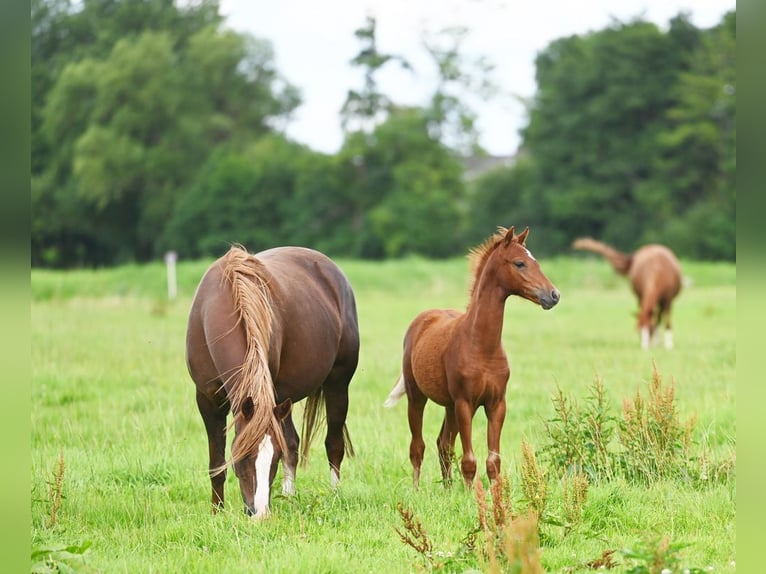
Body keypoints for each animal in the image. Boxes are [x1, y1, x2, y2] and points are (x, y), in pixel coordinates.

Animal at [189, 245, 364, 520]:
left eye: (273, 459)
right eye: (243, 456)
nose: (260, 514)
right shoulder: (207, 401)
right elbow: (217, 464)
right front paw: (216, 512)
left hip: (337, 384)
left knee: (334, 444)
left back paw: (334, 495)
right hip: (283, 400)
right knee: (293, 443)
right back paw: (289, 497)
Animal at [388, 226, 560, 490]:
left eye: (536, 262)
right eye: (519, 263)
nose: (553, 295)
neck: (482, 347)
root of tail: (421, 321)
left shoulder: (496, 404)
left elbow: (493, 460)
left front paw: (495, 494)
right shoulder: (465, 403)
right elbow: (469, 460)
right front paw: (471, 496)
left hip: (449, 406)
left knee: (444, 444)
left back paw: (448, 489)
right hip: (418, 397)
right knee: (418, 446)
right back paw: (417, 490)